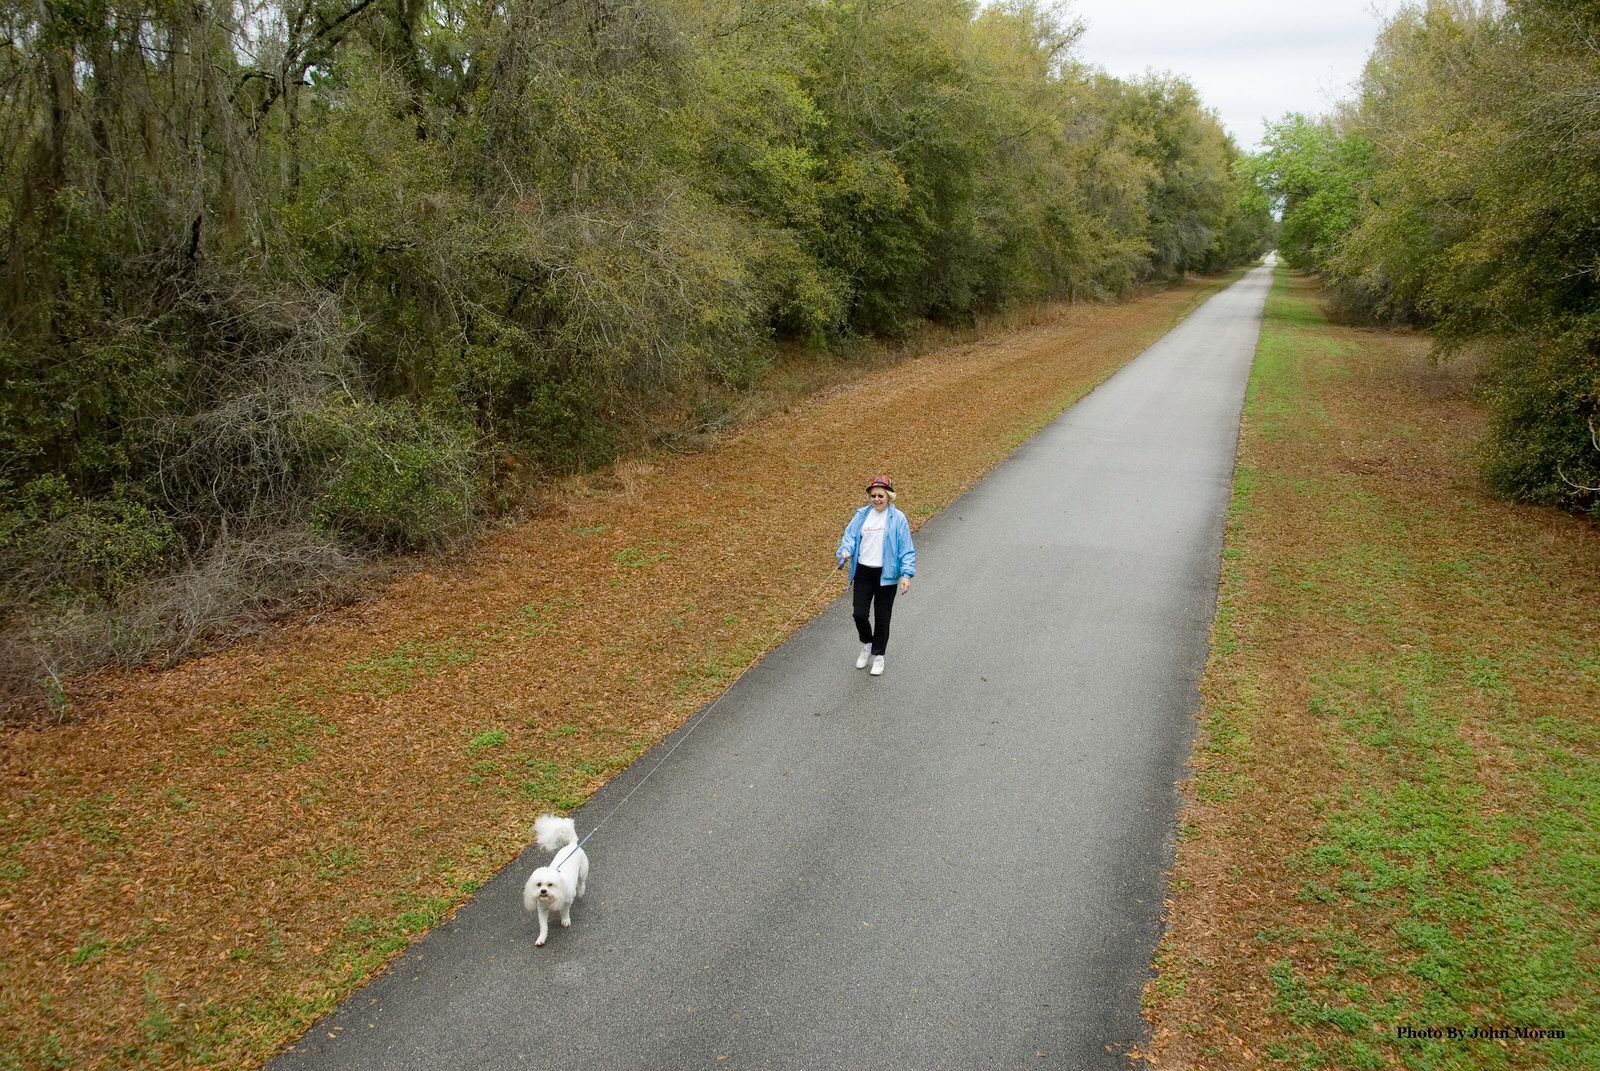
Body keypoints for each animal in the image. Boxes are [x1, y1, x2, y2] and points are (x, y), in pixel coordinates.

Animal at [524, 810, 588, 941]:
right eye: (539, 884)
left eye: (550, 884)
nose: (543, 891)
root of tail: (572, 845)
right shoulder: (542, 909)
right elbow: (543, 926)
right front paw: (541, 938)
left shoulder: (567, 900)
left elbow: (565, 911)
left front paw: (565, 920)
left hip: (583, 871)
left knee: (581, 882)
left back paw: (580, 891)